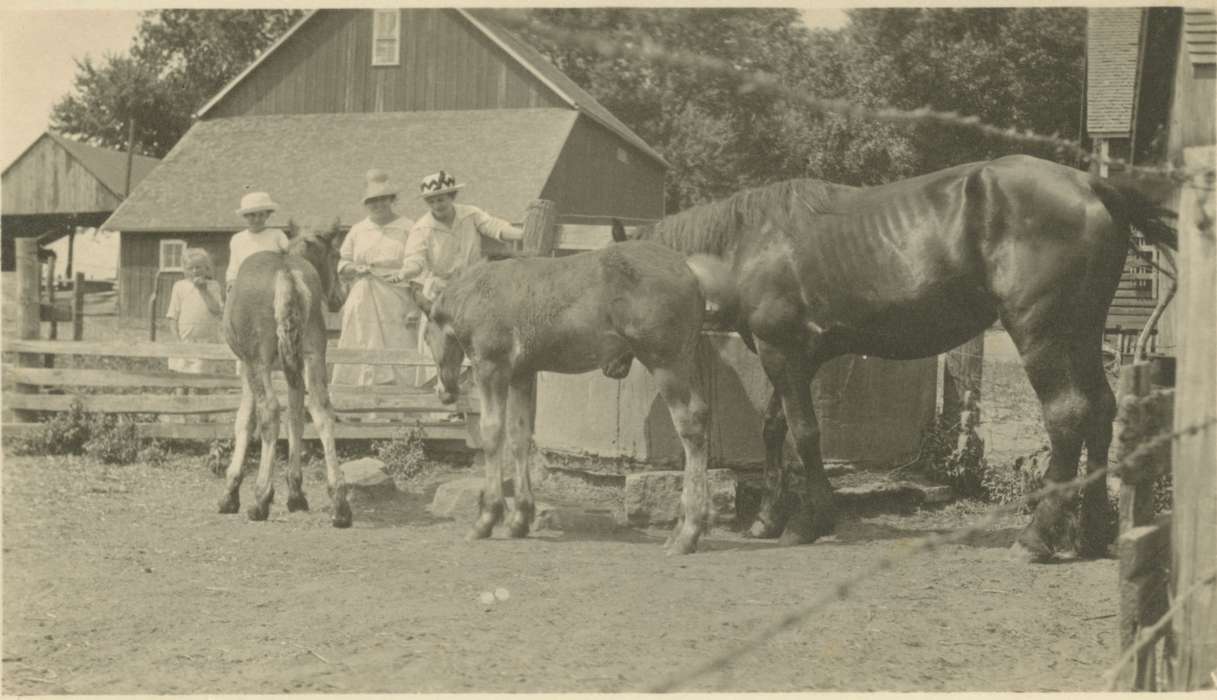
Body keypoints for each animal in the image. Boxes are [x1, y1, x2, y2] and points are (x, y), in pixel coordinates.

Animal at [219, 221, 350, 528]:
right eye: (336, 255)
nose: (340, 296)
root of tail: (286, 272)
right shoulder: (297, 367)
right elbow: (296, 419)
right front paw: (296, 493)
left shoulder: (247, 366)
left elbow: (245, 420)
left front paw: (231, 491)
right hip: (313, 356)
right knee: (322, 411)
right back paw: (339, 503)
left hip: (259, 363)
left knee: (270, 411)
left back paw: (260, 498)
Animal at [411, 243, 730, 555]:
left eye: (427, 338)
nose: (443, 392)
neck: (476, 294)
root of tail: (689, 268)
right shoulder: (522, 374)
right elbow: (519, 436)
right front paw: (520, 518)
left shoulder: (492, 369)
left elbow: (492, 434)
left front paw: (487, 518)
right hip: (685, 363)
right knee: (701, 415)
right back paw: (682, 528)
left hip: (666, 364)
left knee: (690, 428)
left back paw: (688, 533)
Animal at [613, 155, 1173, 562]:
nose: (615, 367)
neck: (751, 244)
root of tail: (1093, 186)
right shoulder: (788, 357)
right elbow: (775, 430)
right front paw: (768, 519)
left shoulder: (784, 354)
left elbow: (806, 434)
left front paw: (808, 521)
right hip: (1082, 333)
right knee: (1101, 411)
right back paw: (1090, 536)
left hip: (1041, 334)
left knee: (1068, 416)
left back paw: (1036, 537)